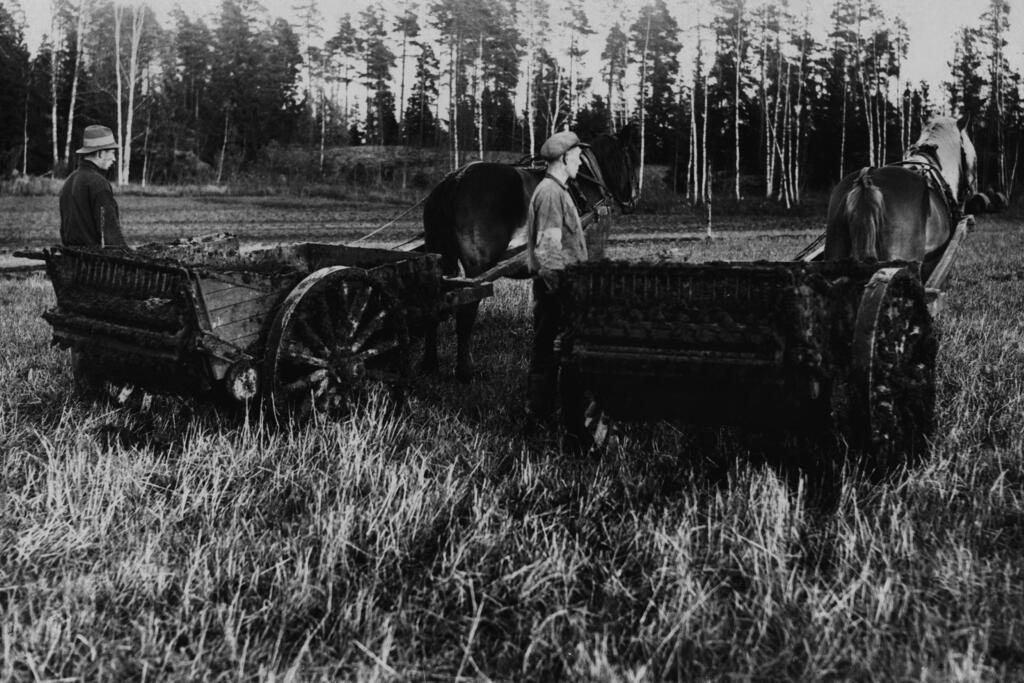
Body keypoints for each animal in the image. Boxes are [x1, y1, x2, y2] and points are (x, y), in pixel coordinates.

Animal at [419, 124, 634, 382]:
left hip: (438, 259)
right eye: (629, 159)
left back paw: (430, 365)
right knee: (466, 311)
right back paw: (464, 372)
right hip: (476, 268)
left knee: (433, 308)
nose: (632, 201)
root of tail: (454, 180)